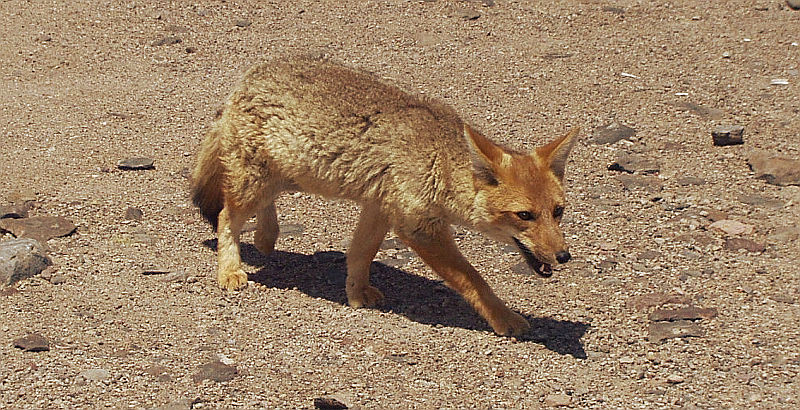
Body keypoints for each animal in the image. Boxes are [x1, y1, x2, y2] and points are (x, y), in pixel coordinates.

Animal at [194, 55, 580, 336]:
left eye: (558, 211)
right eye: (525, 215)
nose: (564, 256)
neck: (437, 157)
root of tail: (247, 77)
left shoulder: (378, 207)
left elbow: (360, 254)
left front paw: (356, 293)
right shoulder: (417, 228)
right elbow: (472, 279)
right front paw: (504, 318)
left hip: (292, 177)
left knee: (257, 206)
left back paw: (266, 235)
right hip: (260, 181)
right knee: (227, 216)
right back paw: (231, 269)